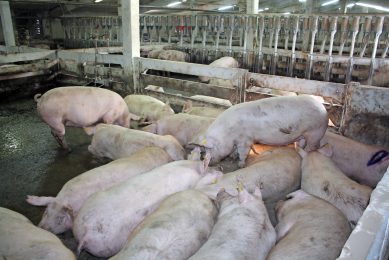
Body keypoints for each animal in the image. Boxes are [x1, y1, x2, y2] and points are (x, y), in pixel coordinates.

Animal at [189, 95, 326, 167]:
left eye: (210, 149)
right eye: (203, 150)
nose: (208, 162)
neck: (228, 132)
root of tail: (323, 108)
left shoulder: (245, 139)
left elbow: (243, 152)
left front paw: (240, 164)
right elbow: (235, 150)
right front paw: (232, 158)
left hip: (316, 132)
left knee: (311, 147)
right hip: (303, 134)